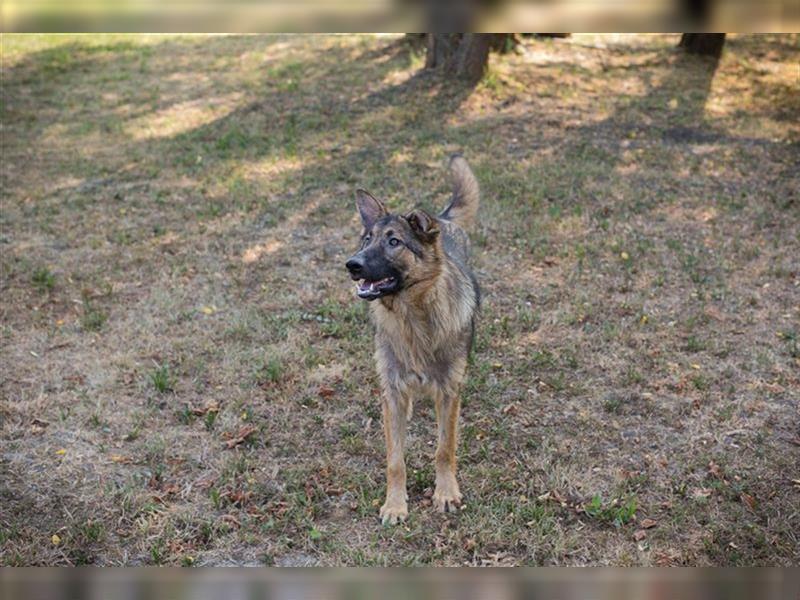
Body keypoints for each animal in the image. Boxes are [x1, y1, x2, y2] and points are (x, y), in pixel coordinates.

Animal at [346, 155, 482, 524]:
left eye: (394, 242)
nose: (351, 265)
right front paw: (395, 504)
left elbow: (444, 448)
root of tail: (443, 219)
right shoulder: (393, 392)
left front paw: (445, 492)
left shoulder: (449, 392)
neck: (412, 320)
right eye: (366, 240)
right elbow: (395, 460)